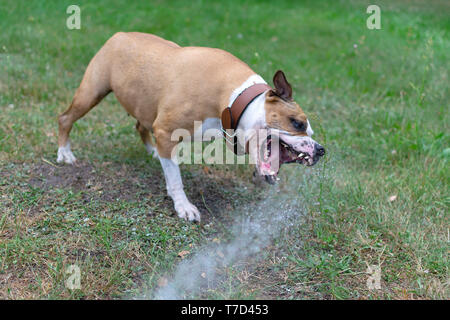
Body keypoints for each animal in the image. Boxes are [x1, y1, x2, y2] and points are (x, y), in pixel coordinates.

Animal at [57, 33, 324, 222]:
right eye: (297, 123)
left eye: (310, 132)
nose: (321, 150)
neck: (232, 98)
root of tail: (118, 35)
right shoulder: (165, 131)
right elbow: (175, 178)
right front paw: (183, 206)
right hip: (90, 94)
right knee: (65, 118)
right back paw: (65, 153)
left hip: (143, 104)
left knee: (140, 126)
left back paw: (153, 151)